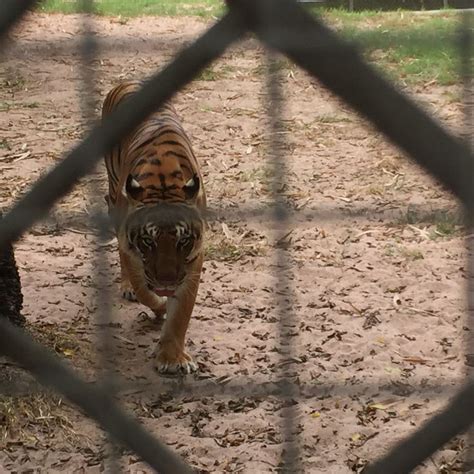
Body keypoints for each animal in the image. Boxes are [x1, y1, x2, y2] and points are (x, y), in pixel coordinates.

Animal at [102, 80, 206, 374]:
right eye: (148, 242)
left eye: (183, 241)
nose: (166, 282)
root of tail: (128, 81)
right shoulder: (131, 247)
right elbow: (142, 287)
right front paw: (158, 306)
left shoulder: (194, 259)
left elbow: (181, 314)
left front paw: (172, 358)